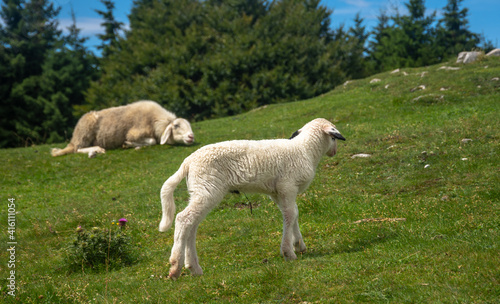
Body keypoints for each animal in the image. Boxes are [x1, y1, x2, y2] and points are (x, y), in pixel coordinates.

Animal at [50, 100, 194, 158]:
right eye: (176, 126)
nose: (191, 136)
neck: (155, 120)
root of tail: (73, 138)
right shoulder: (134, 133)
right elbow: (152, 141)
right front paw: (128, 144)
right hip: (84, 134)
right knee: (77, 149)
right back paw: (97, 149)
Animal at [158, 117, 346, 280]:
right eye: (334, 138)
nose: (334, 152)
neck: (305, 149)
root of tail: (188, 161)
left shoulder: (277, 193)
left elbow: (294, 213)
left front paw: (299, 244)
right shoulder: (287, 185)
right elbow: (290, 215)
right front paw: (288, 252)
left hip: (200, 190)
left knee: (192, 224)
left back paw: (194, 268)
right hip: (207, 188)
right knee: (183, 218)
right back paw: (175, 267)